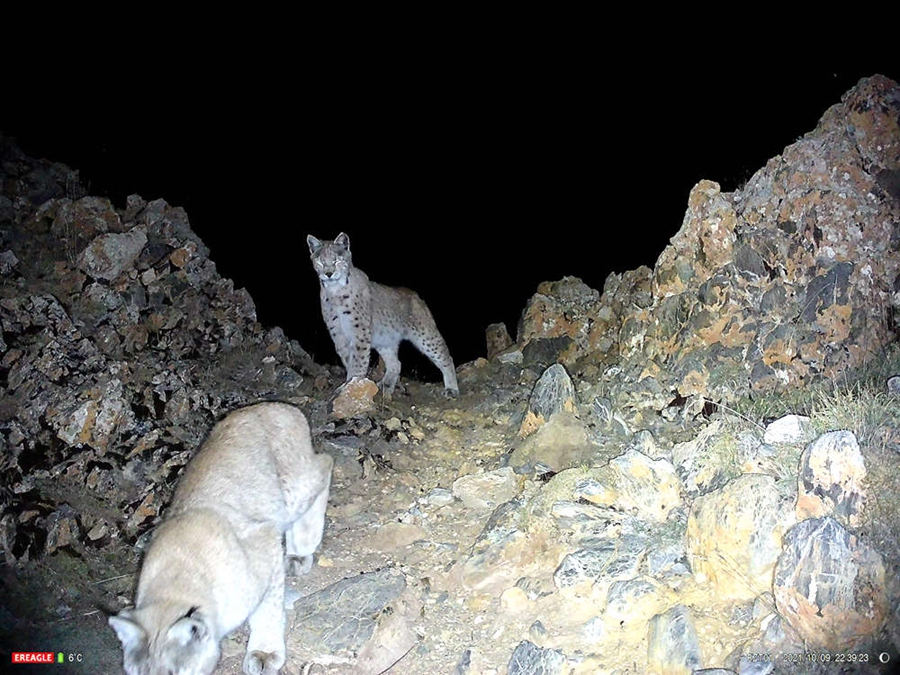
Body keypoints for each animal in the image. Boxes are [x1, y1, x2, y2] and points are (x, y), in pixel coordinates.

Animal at [109, 402, 334, 675]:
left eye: (174, 674)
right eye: (137, 674)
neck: (174, 585)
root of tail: (269, 405)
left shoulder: (264, 540)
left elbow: (268, 608)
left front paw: (264, 651)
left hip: (294, 491)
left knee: (325, 462)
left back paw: (302, 547)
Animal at [310, 234, 460, 396]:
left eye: (336, 260)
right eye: (320, 261)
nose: (328, 274)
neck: (335, 290)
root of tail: (415, 294)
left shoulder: (359, 332)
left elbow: (358, 361)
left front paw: (352, 385)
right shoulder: (338, 333)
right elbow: (349, 360)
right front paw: (348, 386)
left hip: (425, 335)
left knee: (446, 356)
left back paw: (452, 388)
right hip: (385, 337)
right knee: (396, 363)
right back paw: (386, 385)